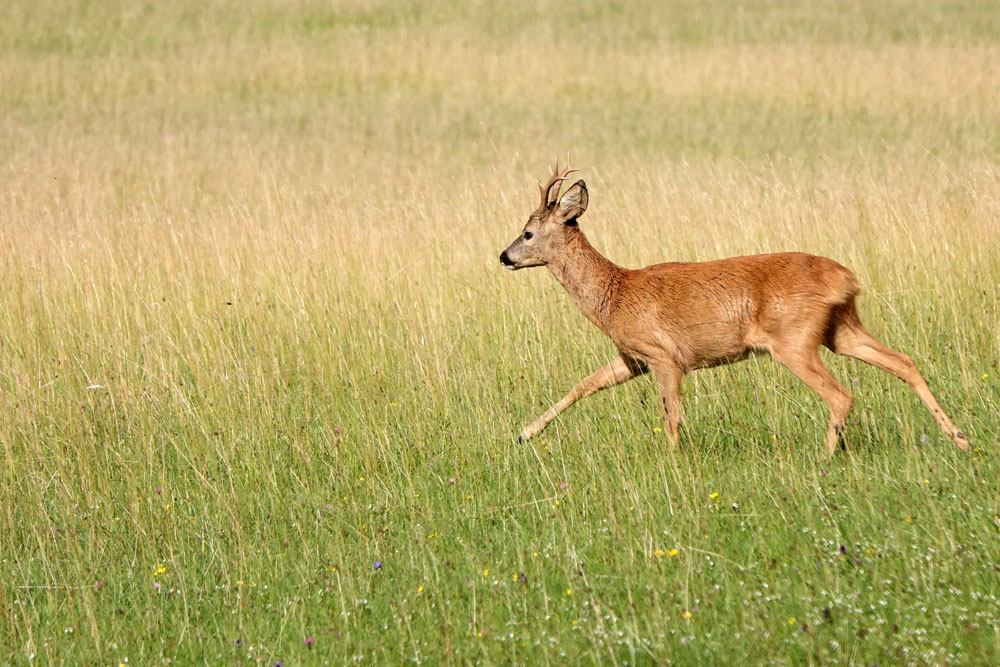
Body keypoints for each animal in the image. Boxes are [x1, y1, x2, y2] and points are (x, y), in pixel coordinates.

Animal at [500, 160, 968, 460]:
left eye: (527, 232)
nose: (504, 256)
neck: (614, 293)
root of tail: (846, 278)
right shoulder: (632, 357)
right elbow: (582, 386)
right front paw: (524, 434)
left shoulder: (664, 356)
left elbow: (671, 415)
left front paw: (672, 462)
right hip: (840, 329)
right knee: (903, 361)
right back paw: (960, 438)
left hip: (794, 340)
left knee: (841, 394)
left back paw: (823, 460)